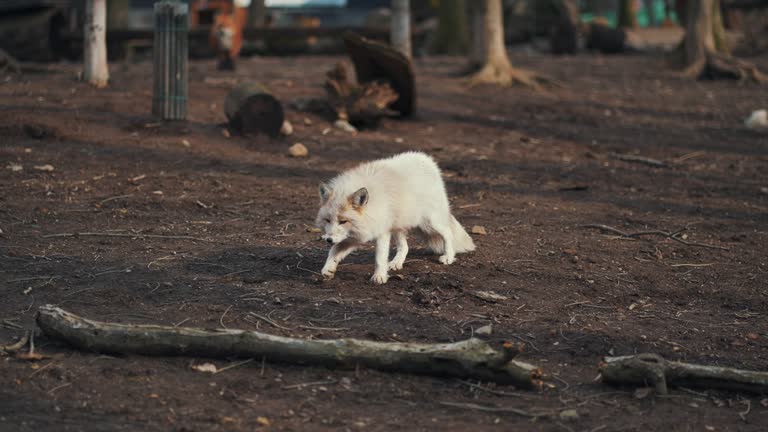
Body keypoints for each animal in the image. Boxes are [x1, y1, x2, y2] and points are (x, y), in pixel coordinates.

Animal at [314, 150, 474, 286]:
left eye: (343, 221)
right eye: (327, 220)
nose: (328, 239)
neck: (372, 205)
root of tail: (427, 159)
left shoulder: (382, 232)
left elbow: (379, 258)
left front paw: (379, 277)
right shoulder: (358, 235)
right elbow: (334, 250)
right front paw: (328, 269)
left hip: (430, 222)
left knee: (448, 233)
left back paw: (448, 257)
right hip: (399, 227)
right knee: (405, 247)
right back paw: (396, 263)